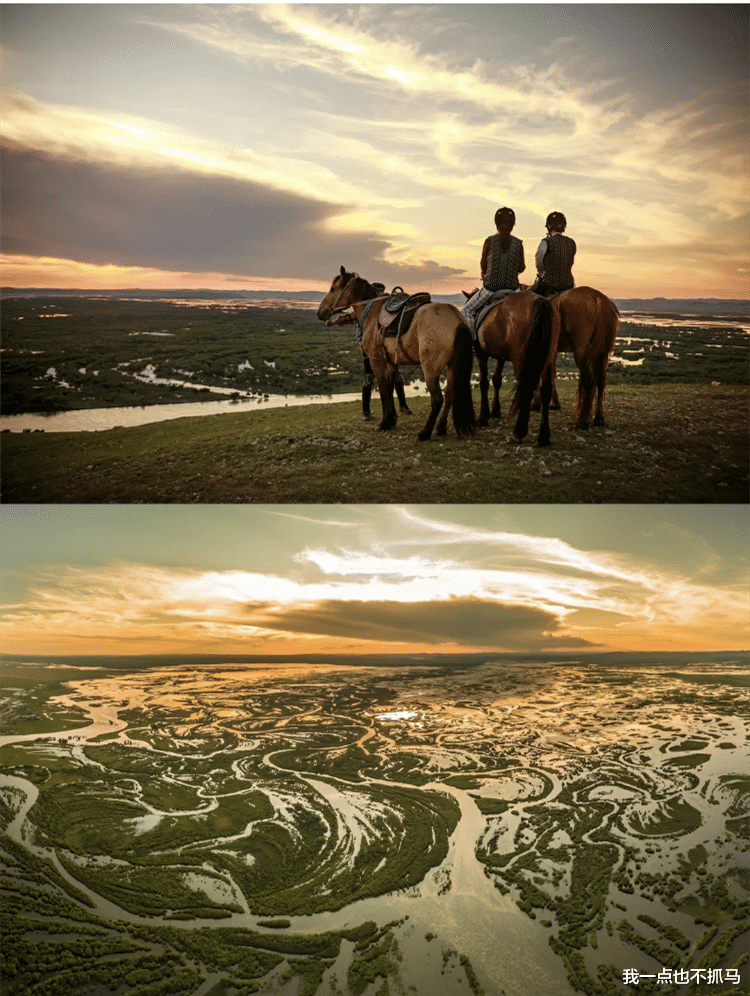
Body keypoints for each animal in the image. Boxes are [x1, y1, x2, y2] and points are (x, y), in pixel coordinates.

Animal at [316, 264, 476, 440]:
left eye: (333, 288)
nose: (320, 312)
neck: (370, 312)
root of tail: (457, 319)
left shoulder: (376, 360)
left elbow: (383, 389)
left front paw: (384, 423)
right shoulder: (391, 362)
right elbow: (390, 387)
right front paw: (391, 420)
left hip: (430, 370)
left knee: (437, 399)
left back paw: (425, 433)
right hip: (452, 365)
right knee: (450, 394)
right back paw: (440, 428)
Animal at [468, 286, 620, 446]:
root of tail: (599, 300)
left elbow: (487, 382)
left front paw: (485, 416)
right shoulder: (547, 353)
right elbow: (548, 378)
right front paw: (549, 404)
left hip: (579, 351)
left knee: (587, 379)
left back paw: (580, 421)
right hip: (602, 351)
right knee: (601, 380)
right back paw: (597, 418)